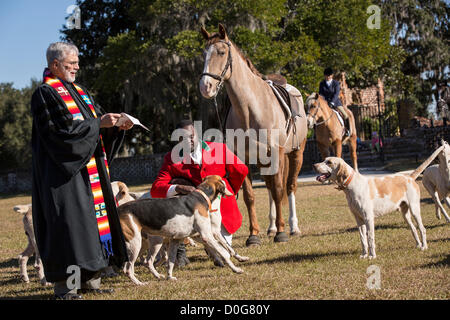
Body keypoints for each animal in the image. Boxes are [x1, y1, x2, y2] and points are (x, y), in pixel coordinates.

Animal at [199, 24, 308, 245]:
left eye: (221, 52)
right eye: (203, 54)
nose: (206, 87)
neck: (250, 108)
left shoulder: (277, 153)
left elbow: (279, 189)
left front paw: (282, 233)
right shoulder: (243, 157)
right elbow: (250, 196)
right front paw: (253, 235)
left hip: (296, 154)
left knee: (289, 187)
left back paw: (292, 227)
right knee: (269, 187)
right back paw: (271, 227)